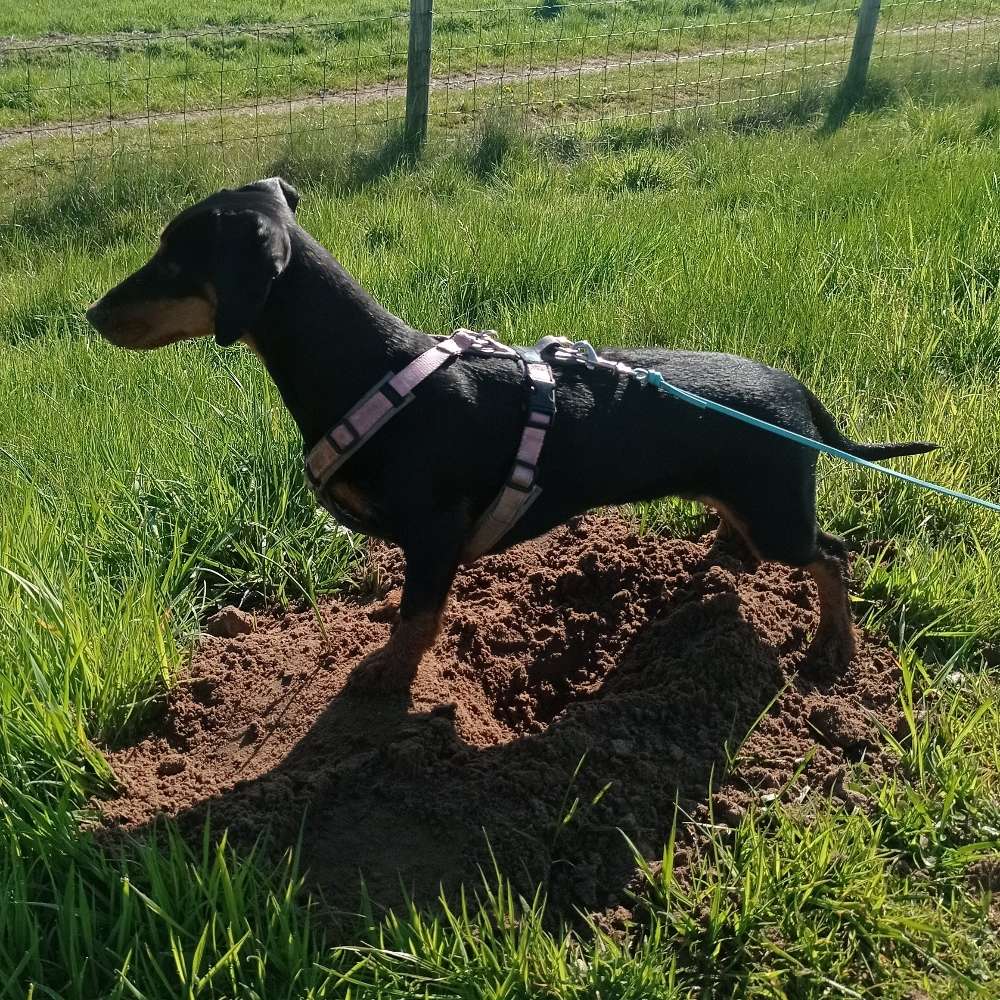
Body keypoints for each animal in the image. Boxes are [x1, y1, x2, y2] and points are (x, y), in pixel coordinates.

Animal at [86, 180, 936, 692]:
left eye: (171, 259)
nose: (90, 315)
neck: (371, 367)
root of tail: (793, 389)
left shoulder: (433, 534)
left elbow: (418, 616)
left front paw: (387, 677)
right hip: (750, 503)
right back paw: (727, 554)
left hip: (780, 512)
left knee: (833, 556)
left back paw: (835, 648)